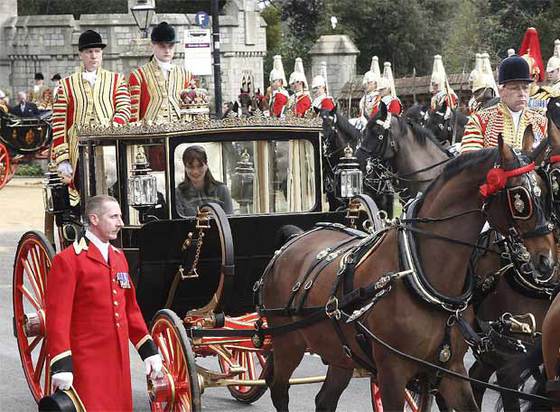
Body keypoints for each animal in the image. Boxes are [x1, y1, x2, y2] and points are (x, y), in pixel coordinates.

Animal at [260, 137, 556, 410]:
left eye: (544, 191)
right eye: (520, 198)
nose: (547, 261)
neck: (419, 274)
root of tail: (293, 240)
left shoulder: (452, 371)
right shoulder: (392, 373)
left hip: (340, 353)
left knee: (324, 399)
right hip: (287, 344)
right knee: (279, 391)